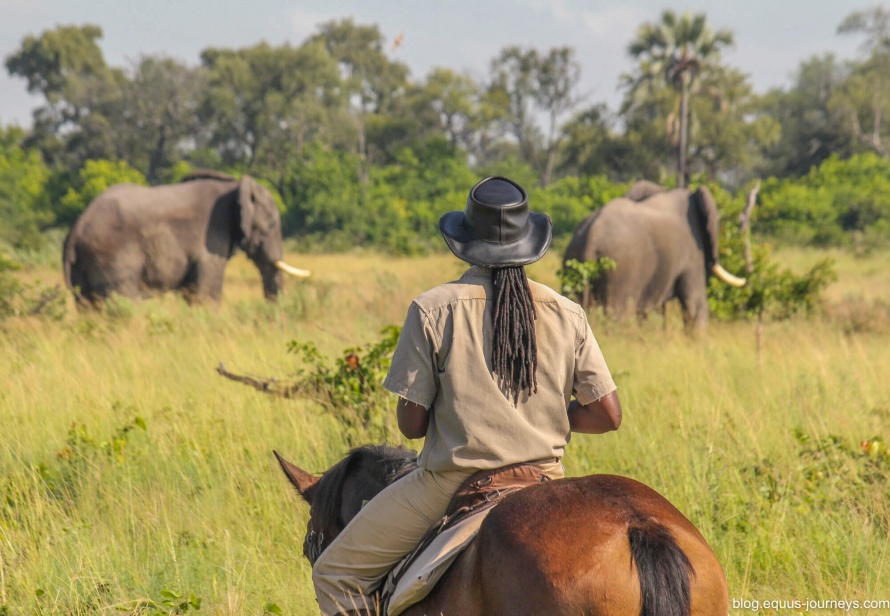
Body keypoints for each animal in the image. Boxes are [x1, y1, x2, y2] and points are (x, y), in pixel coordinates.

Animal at [63, 171, 308, 306]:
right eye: (272, 225)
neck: (234, 186)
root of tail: (75, 231)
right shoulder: (210, 241)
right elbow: (207, 294)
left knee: (87, 306)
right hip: (113, 257)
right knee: (123, 300)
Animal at [564, 180, 744, 330]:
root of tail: (591, 236)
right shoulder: (693, 252)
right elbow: (695, 304)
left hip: (573, 261)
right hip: (619, 273)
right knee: (618, 314)